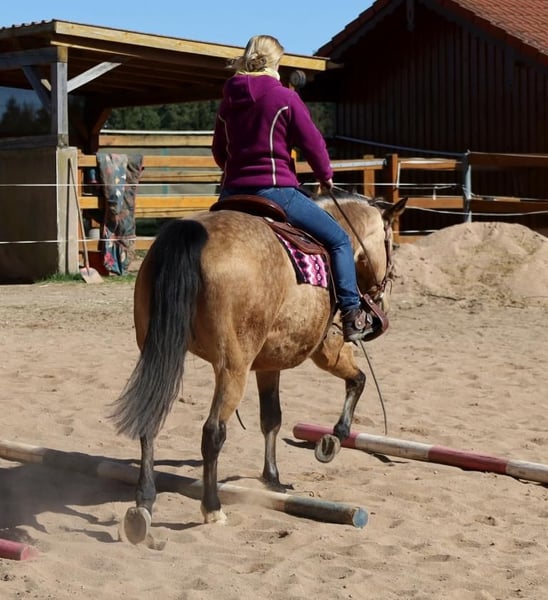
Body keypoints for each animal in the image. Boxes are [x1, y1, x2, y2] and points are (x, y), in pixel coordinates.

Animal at [110, 190, 407, 542]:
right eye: (390, 245)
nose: (383, 299)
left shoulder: (268, 364)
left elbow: (271, 419)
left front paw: (272, 477)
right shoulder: (325, 349)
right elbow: (358, 380)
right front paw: (334, 438)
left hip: (159, 351)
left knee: (150, 421)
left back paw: (143, 505)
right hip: (232, 367)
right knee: (213, 432)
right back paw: (212, 508)